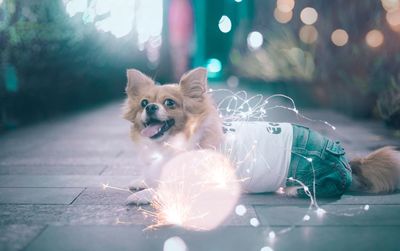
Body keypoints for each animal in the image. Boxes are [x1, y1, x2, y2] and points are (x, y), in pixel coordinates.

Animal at [123, 67, 400, 205]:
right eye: (144, 102)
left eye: (170, 103)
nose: (150, 107)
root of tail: (347, 159)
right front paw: (142, 181)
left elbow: (169, 189)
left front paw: (143, 195)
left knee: (329, 189)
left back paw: (292, 191)